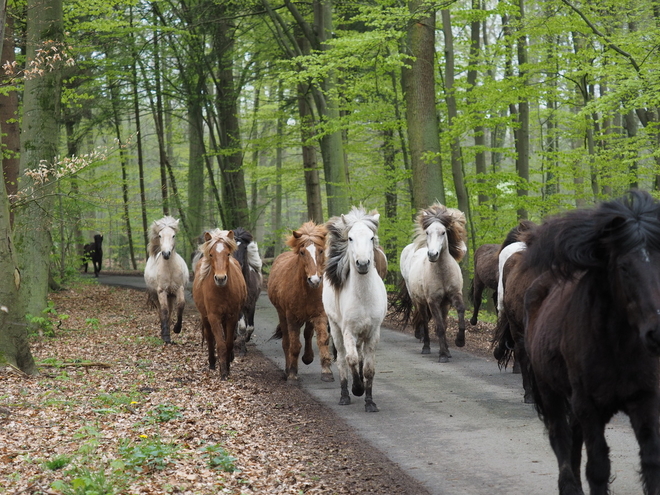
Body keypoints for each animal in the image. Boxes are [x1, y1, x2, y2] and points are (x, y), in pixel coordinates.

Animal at [196, 229, 250, 380]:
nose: (220, 278)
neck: (222, 290)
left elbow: (229, 342)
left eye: (228, 254)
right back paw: (212, 363)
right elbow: (220, 344)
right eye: (211, 254)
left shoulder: (232, 316)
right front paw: (223, 372)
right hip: (205, 316)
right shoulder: (213, 317)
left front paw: (228, 367)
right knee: (209, 337)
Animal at [266, 222, 336, 384]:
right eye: (302, 252)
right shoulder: (292, 317)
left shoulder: (319, 314)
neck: (305, 290)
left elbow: (322, 340)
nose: (314, 280)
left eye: (321, 251)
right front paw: (292, 373)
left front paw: (326, 371)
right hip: (282, 314)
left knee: (308, 334)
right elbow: (294, 345)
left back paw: (308, 357)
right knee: (286, 342)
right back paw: (287, 369)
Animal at [320, 207, 386, 412]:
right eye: (350, 238)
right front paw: (357, 388)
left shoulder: (373, 333)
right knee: (342, 359)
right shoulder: (348, 331)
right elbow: (351, 360)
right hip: (335, 329)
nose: (363, 264)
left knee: (360, 356)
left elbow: (368, 367)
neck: (363, 297)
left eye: (371, 237)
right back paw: (345, 395)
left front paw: (370, 401)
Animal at [398, 203, 470, 362]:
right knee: (425, 321)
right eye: (427, 232)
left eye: (443, 232)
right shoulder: (433, 301)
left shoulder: (453, 296)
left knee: (443, 321)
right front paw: (442, 355)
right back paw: (426, 347)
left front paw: (459, 341)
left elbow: (460, 312)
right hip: (420, 301)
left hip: (444, 304)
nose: (432, 255)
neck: (442, 274)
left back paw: (448, 350)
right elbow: (440, 327)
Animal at [524, 190, 660, 495]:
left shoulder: (644, 400)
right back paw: (568, 486)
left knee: (573, 442)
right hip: (550, 391)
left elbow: (651, 462)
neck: (618, 347)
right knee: (560, 438)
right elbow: (598, 468)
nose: (657, 331)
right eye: (623, 266)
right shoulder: (589, 406)